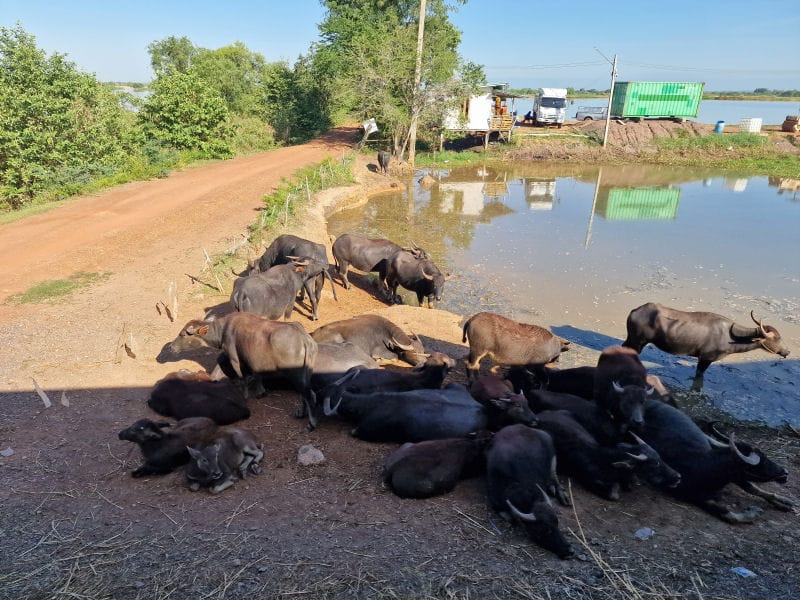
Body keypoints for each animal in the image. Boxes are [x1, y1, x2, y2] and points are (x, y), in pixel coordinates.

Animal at [624, 302, 788, 382]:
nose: (787, 351)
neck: (731, 336)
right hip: (638, 341)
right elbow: (699, 375)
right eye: (777, 338)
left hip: (632, 339)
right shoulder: (706, 358)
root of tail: (635, 311)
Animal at [636, 400, 792, 524]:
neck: (707, 465)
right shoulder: (692, 494)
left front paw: (784, 502)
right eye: (761, 463)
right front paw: (754, 512)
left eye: (765, 456)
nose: (785, 472)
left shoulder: (737, 477)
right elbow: (726, 513)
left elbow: (754, 489)